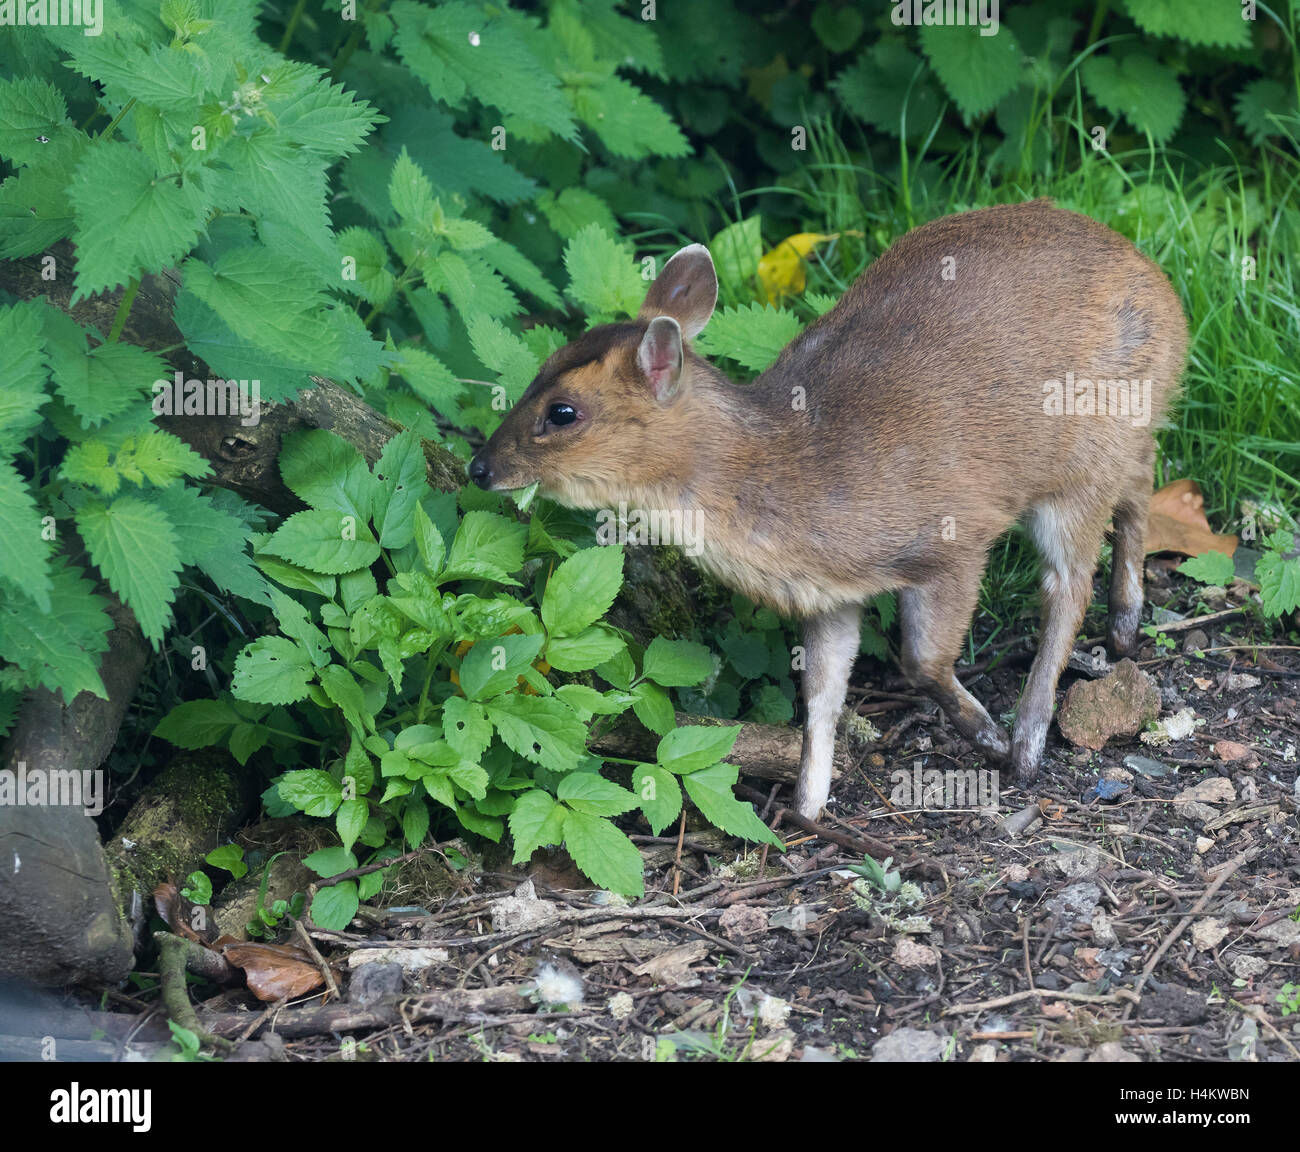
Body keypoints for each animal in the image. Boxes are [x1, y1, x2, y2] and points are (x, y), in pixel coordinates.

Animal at [469, 200, 1187, 820]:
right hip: (1117, 441)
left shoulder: (955, 537)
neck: (800, 484)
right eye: (539, 368)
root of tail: (1161, 282)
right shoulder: (829, 595)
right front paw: (807, 805)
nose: (481, 467)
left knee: (1068, 581)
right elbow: (819, 693)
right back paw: (1124, 628)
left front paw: (986, 734)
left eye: (563, 411)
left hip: (1079, 460)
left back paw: (1031, 738)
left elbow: (922, 660)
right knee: (1144, 476)